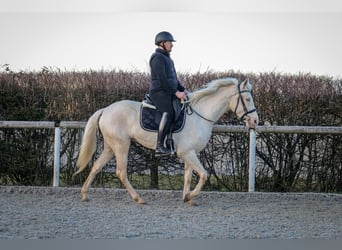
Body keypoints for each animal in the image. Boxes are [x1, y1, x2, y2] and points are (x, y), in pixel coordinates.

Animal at [73, 78, 258, 205]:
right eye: (248, 99)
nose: (255, 121)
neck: (200, 116)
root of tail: (106, 110)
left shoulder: (190, 154)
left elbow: (188, 177)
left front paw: (187, 198)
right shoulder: (187, 153)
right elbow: (204, 174)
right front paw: (190, 195)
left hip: (110, 147)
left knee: (96, 166)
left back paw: (84, 194)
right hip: (121, 146)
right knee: (121, 172)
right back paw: (138, 198)